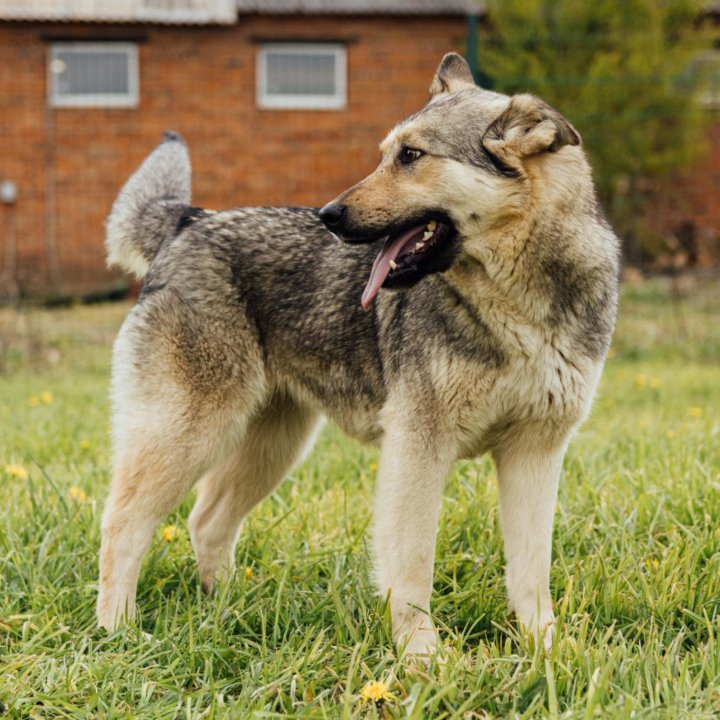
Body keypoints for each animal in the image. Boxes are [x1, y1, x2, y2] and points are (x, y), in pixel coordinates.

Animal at [97, 53, 620, 656]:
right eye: (386, 154)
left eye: (411, 156)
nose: (330, 214)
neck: (521, 307)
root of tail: (189, 219)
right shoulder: (418, 447)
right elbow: (412, 564)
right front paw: (422, 657)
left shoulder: (534, 453)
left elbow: (532, 569)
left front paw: (547, 652)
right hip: (190, 432)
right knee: (122, 523)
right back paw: (117, 631)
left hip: (273, 444)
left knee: (207, 521)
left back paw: (225, 612)